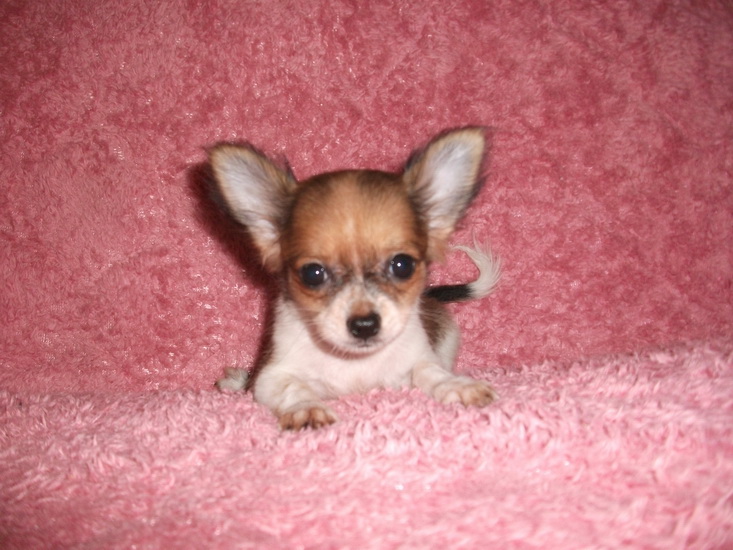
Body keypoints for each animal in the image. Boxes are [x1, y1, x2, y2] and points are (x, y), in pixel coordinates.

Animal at [210, 127, 500, 430]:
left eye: (403, 266)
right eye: (312, 274)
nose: (365, 325)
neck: (354, 363)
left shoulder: (417, 362)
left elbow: (432, 372)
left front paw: (458, 386)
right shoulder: (272, 377)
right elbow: (293, 388)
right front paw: (306, 408)